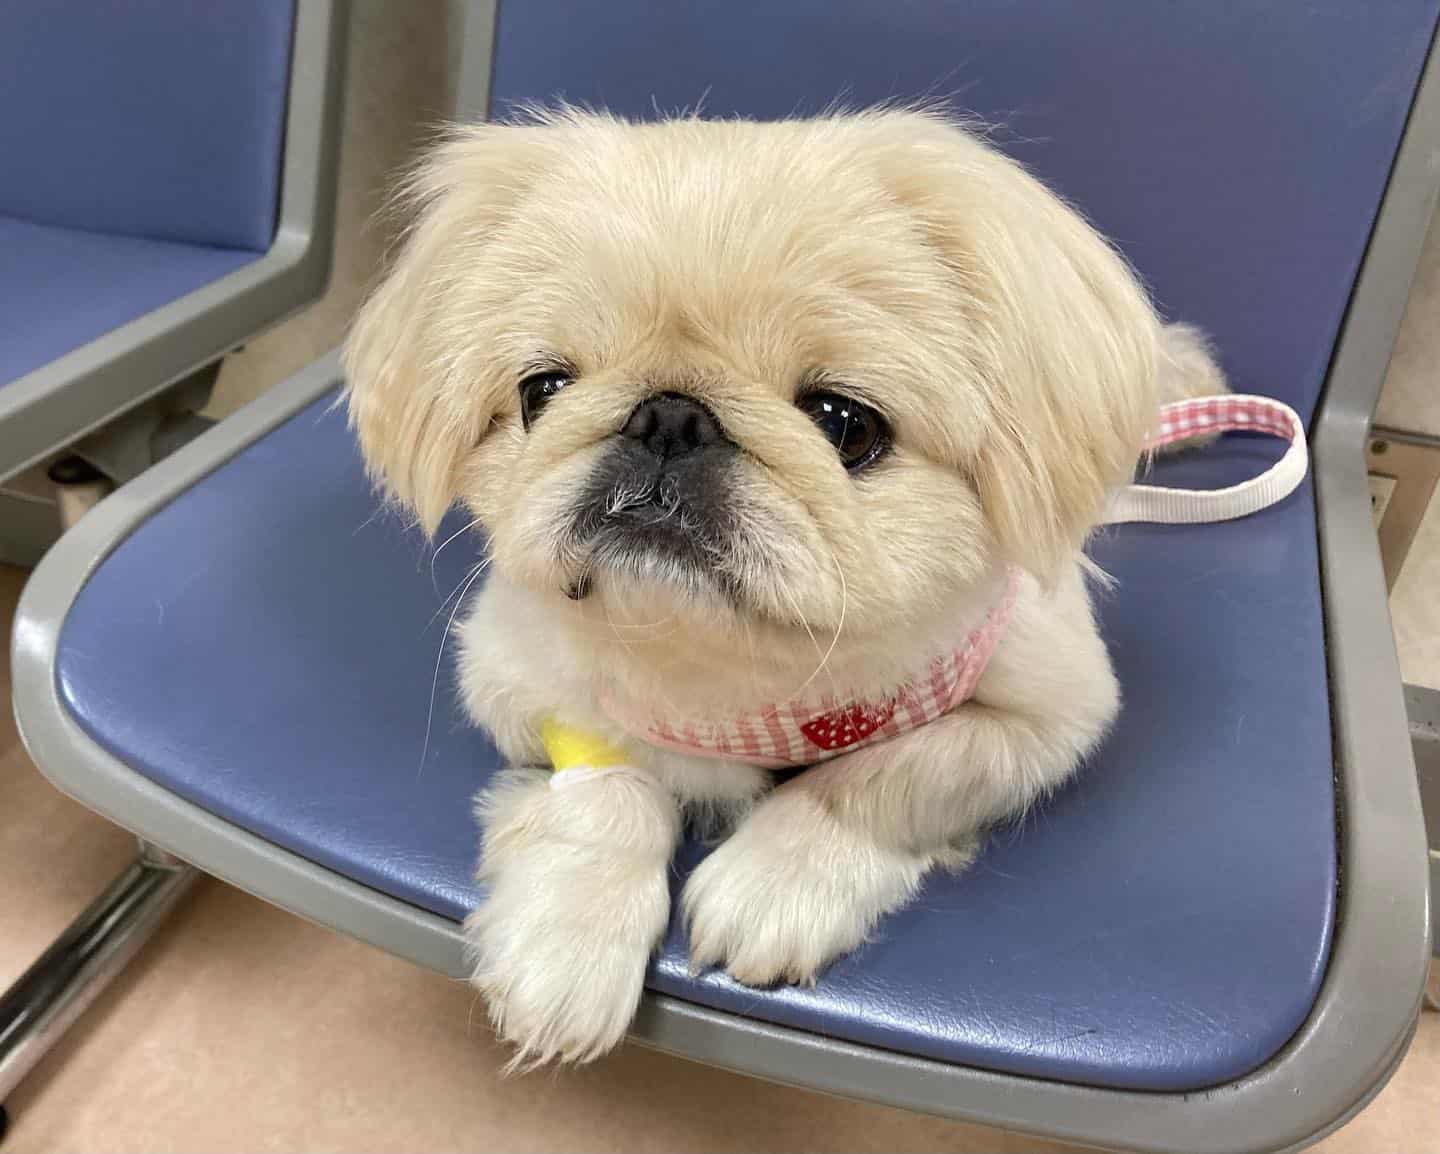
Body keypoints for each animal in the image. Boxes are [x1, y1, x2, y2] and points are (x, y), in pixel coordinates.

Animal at [342, 105, 1221, 1060]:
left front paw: (775, 879)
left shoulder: (1052, 714)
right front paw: (568, 937)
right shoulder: (514, 677)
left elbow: (885, 776)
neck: (734, 677)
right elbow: (610, 788)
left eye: (845, 424)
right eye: (543, 391)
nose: (669, 414)